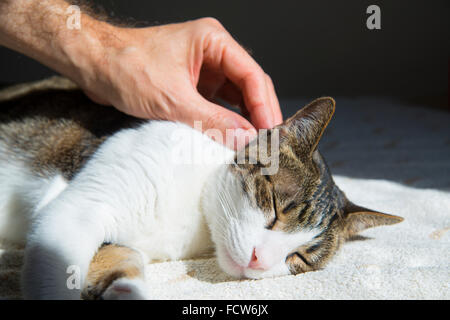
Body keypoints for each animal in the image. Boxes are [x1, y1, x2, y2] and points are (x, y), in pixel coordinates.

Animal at [0, 76, 402, 298]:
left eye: (299, 258)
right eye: (275, 209)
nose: (259, 261)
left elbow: (120, 258)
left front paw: (122, 289)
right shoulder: (77, 208)